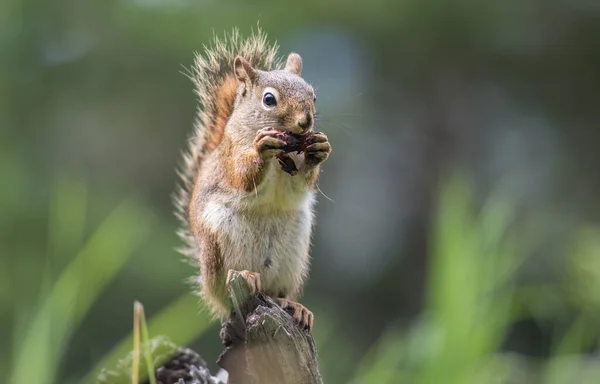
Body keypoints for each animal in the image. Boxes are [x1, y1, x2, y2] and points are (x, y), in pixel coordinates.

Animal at [173, 28, 332, 332]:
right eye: (269, 100)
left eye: (314, 96)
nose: (305, 122)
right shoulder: (230, 159)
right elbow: (243, 177)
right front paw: (261, 149)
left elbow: (298, 186)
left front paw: (319, 149)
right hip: (218, 246)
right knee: (229, 288)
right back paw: (245, 276)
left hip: (294, 252)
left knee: (278, 293)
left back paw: (294, 306)